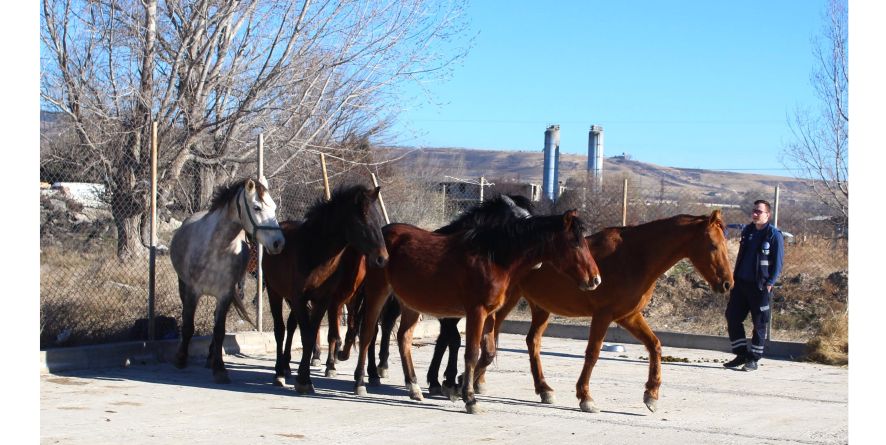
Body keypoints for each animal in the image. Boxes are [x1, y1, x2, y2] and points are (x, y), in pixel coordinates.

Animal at [170, 177, 284, 382]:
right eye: (256, 207)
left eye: (274, 207)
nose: (278, 243)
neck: (217, 248)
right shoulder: (191, 291)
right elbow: (188, 326)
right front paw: (181, 359)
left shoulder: (225, 295)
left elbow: (219, 331)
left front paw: (219, 368)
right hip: (182, 286)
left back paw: (210, 358)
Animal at [262, 184, 390, 392]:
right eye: (361, 220)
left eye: (379, 221)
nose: (382, 258)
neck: (314, 250)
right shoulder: (303, 298)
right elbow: (308, 335)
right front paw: (305, 380)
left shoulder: (323, 300)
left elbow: (313, 333)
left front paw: (305, 378)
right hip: (276, 293)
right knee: (280, 329)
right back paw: (280, 372)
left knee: (291, 326)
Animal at [350, 201, 600, 412]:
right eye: (575, 242)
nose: (595, 279)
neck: (492, 257)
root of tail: (382, 234)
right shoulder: (475, 312)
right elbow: (470, 352)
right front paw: (469, 398)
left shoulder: (488, 314)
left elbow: (487, 352)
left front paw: (456, 386)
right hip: (377, 293)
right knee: (368, 333)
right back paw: (362, 381)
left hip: (409, 302)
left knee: (403, 338)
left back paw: (414, 387)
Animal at [482, 210, 740, 412]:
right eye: (713, 246)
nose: (728, 284)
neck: (635, 256)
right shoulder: (603, 315)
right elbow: (593, 353)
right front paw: (585, 397)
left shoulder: (628, 316)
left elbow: (654, 346)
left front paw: (651, 395)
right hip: (505, 301)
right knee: (492, 333)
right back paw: (480, 380)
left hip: (540, 307)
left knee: (531, 341)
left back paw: (543, 389)